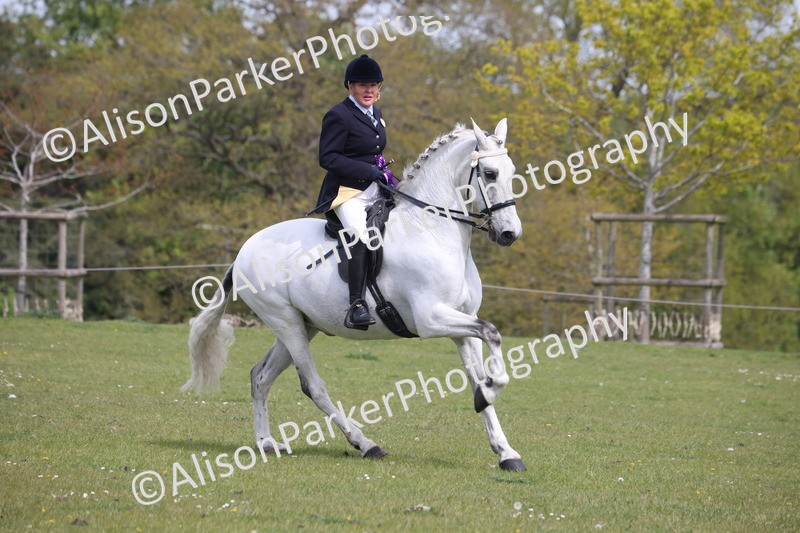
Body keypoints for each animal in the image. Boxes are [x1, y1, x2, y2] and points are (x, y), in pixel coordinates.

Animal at [182, 118, 527, 471]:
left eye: (511, 171)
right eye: (489, 173)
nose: (510, 234)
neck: (431, 229)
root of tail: (243, 252)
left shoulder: (463, 321)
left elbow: (478, 369)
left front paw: (505, 449)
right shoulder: (431, 319)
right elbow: (493, 332)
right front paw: (491, 391)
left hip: (303, 325)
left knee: (260, 376)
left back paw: (266, 443)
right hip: (286, 323)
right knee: (313, 386)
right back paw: (365, 443)